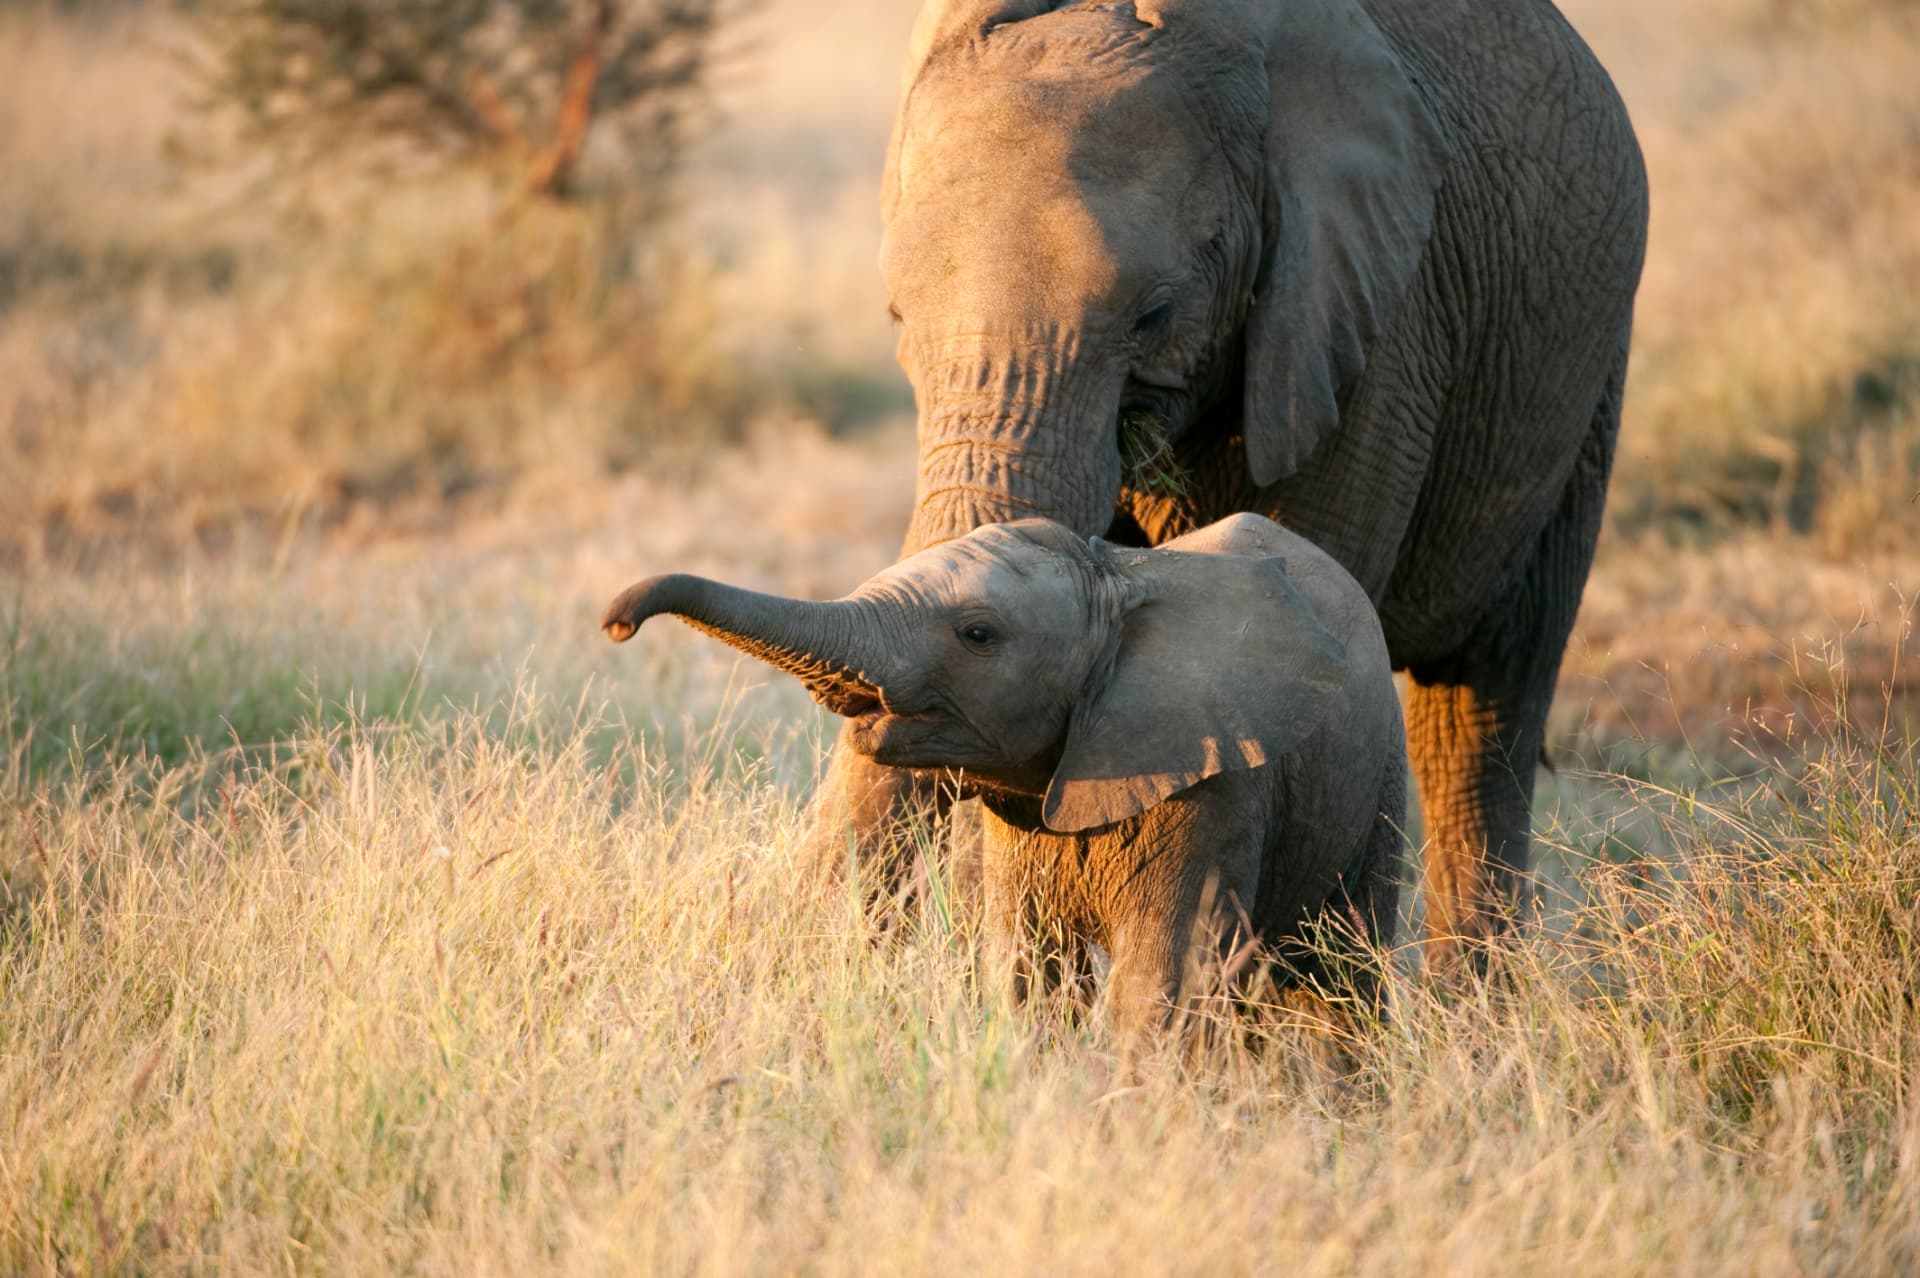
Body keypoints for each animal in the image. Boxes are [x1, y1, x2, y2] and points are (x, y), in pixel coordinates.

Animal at [602, 513, 1406, 1038]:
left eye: (978, 635)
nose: (616, 621)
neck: (1116, 576)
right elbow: (1029, 970)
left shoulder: (1215, 781)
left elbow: (1160, 982)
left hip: (1380, 779)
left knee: (1339, 982)